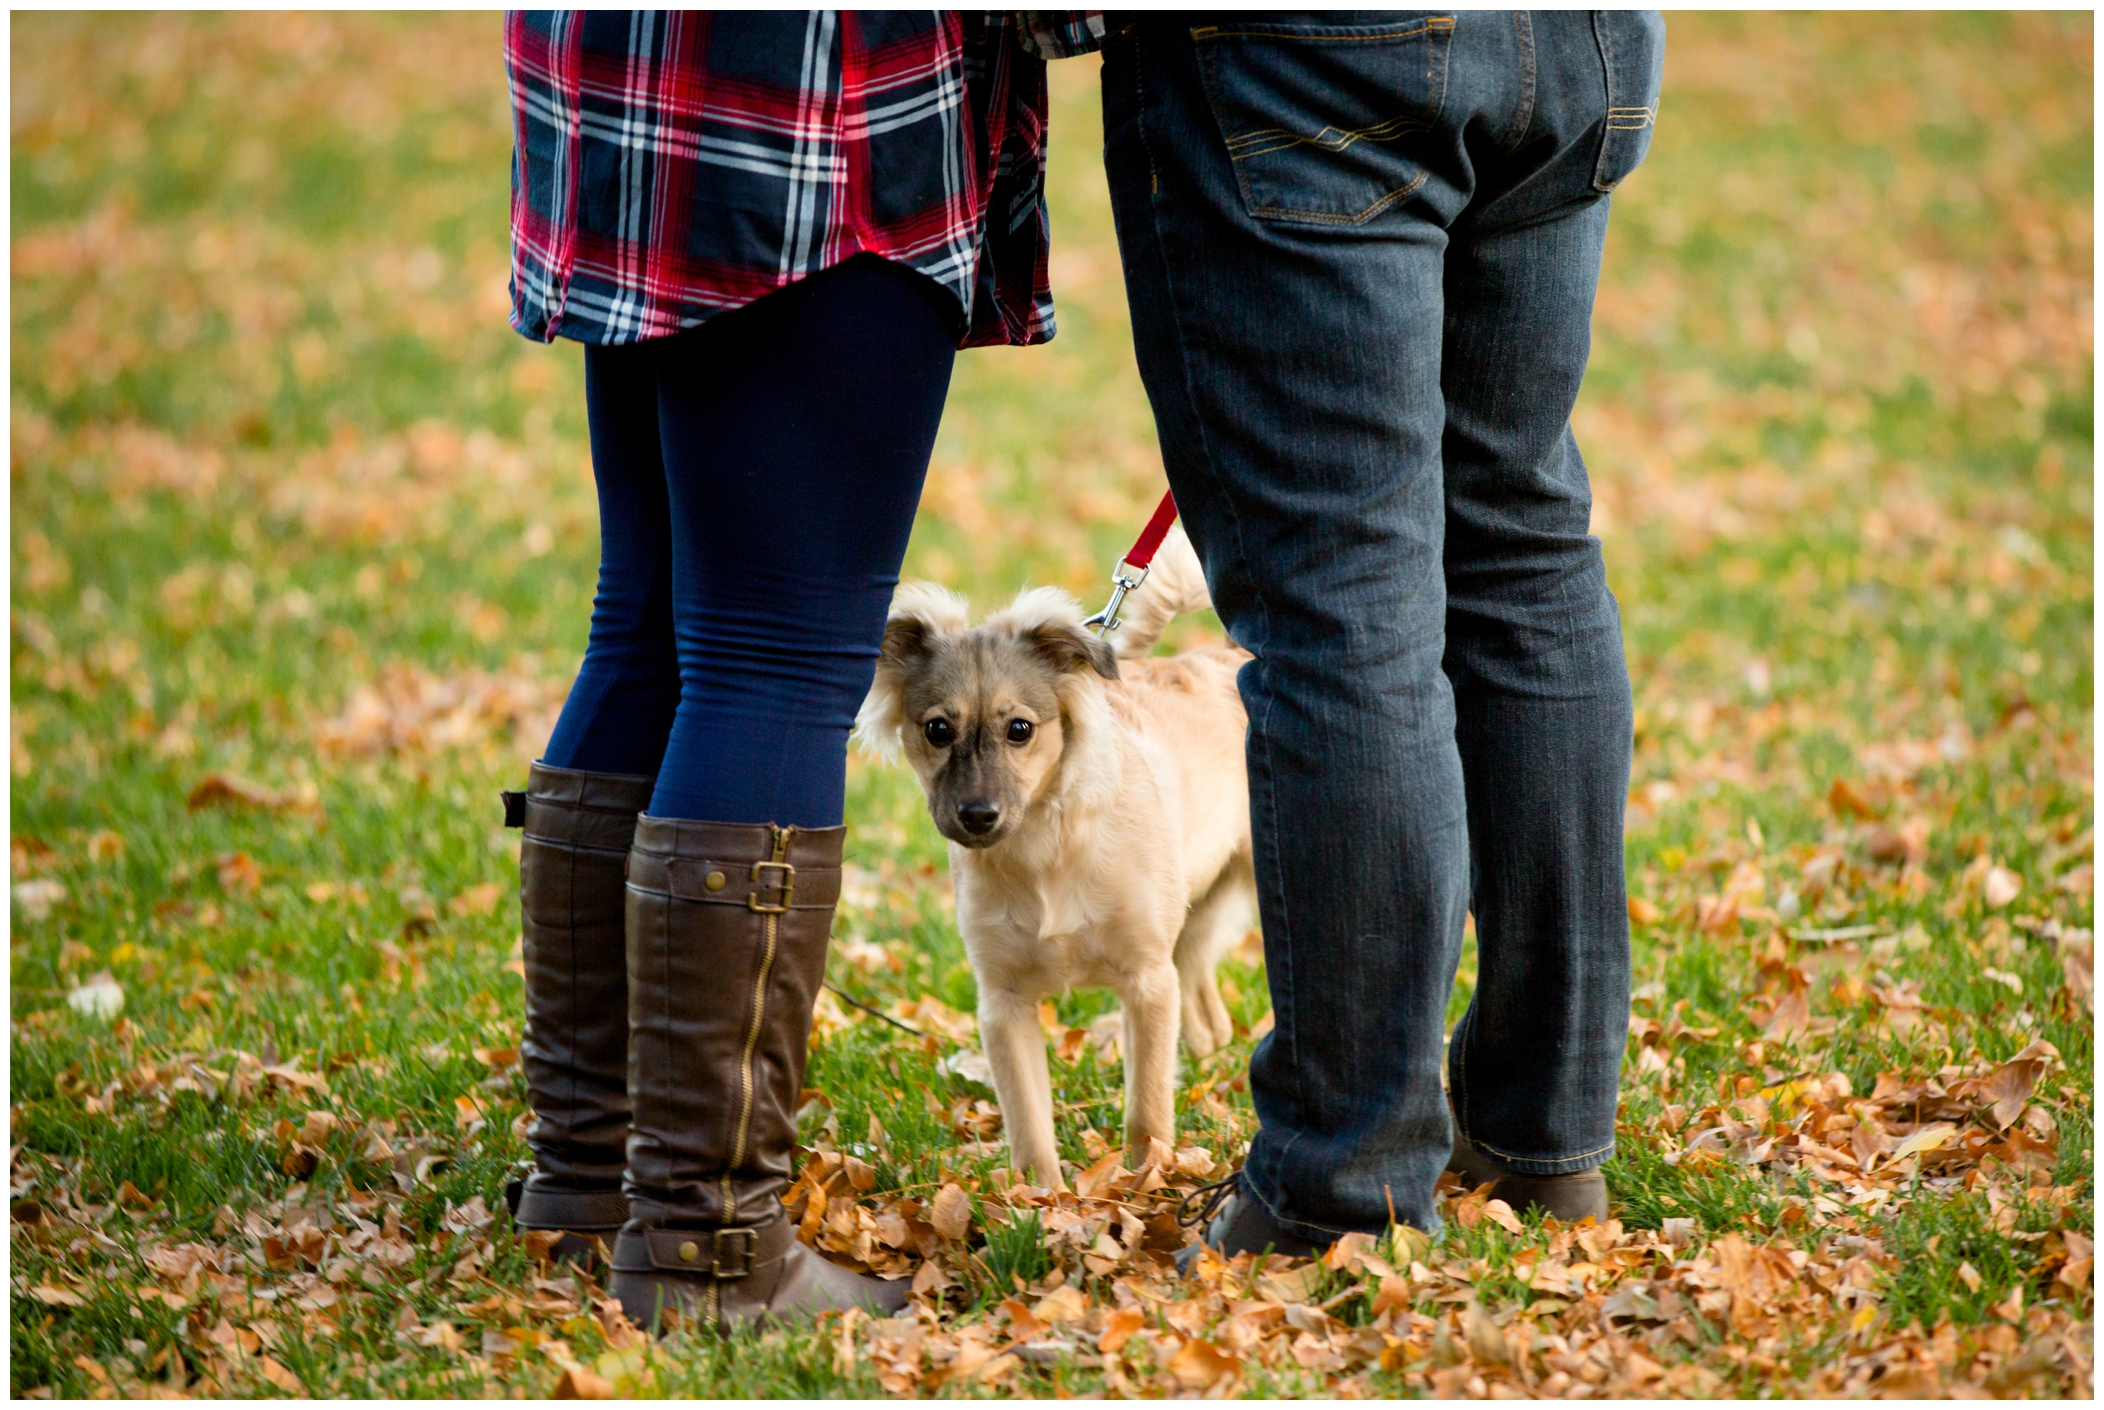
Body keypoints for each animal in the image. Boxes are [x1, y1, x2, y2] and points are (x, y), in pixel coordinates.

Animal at [850, 530, 1245, 1195]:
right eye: (937, 729)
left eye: (1020, 729)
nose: (977, 816)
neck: (1044, 853)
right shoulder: (1003, 1004)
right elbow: (1028, 1121)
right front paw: (1045, 1201)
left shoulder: (1147, 981)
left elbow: (1147, 1107)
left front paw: (1144, 1184)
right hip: (1197, 916)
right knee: (1207, 1007)